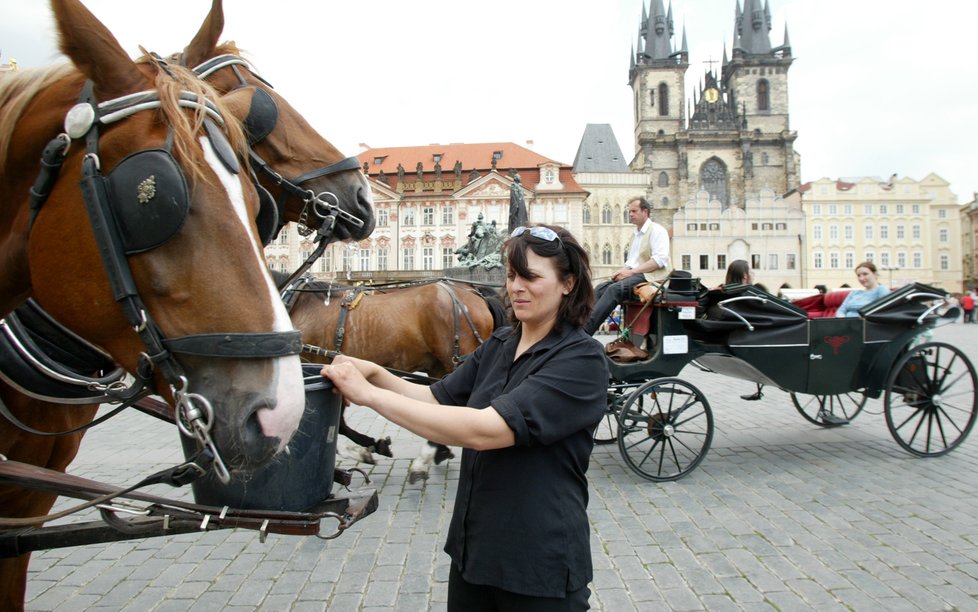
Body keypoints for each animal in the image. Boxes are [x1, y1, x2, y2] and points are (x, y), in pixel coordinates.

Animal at [276, 274, 500, 482]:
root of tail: (472, 291)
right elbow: (338, 424)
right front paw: (372, 447)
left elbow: (335, 424)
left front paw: (365, 450)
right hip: (438, 368)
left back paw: (424, 460)